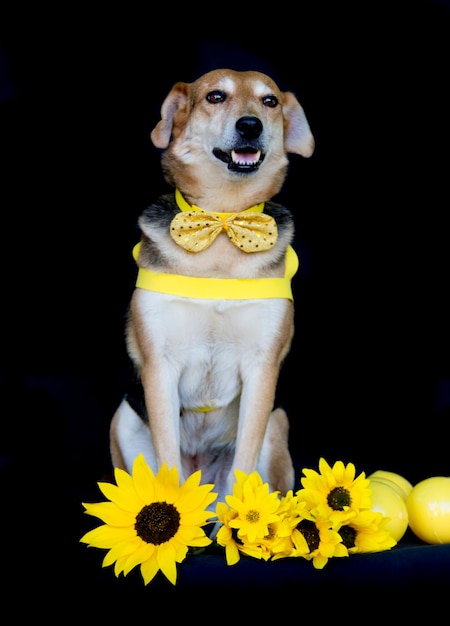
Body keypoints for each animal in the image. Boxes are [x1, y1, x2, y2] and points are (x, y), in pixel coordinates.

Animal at [109, 67, 314, 502]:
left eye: (270, 101)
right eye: (215, 97)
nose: (251, 125)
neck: (222, 219)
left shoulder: (261, 369)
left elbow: (243, 469)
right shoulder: (159, 367)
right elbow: (168, 459)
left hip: (277, 428)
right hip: (123, 419)